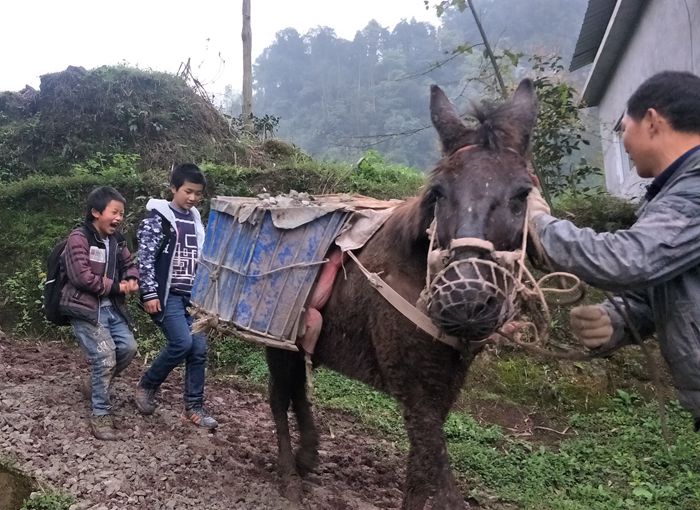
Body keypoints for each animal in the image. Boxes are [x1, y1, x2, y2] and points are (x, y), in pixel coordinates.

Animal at [265, 79, 538, 509]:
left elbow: (421, 472)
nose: (465, 301)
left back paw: (307, 456)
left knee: (296, 391)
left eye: (522, 193)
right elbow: (439, 479)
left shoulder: (444, 388)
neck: (414, 275)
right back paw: (290, 477)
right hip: (275, 339)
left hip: (297, 341)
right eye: (439, 192)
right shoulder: (416, 389)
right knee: (279, 397)